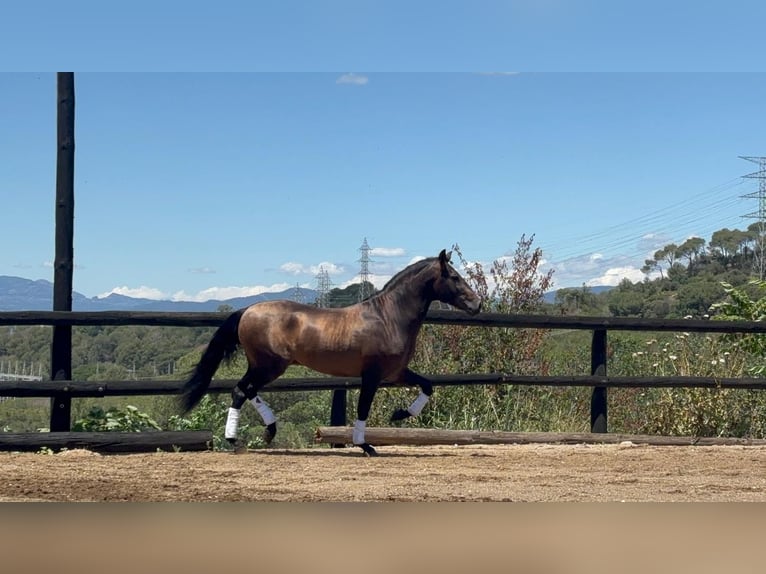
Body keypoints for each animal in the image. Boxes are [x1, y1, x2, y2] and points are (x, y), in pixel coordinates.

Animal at [180, 250, 480, 456]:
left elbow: (428, 386)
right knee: (241, 390)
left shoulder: (397, 373)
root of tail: (248, 310)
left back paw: (267, 431)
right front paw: (366, 446)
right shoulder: (372, 375)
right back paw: (237, 440)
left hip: (263, 366)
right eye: (454, 277)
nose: (476, 304)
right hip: (268, 365)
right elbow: (363, 407)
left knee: (246, 390)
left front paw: (398, 415)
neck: (388, 317)